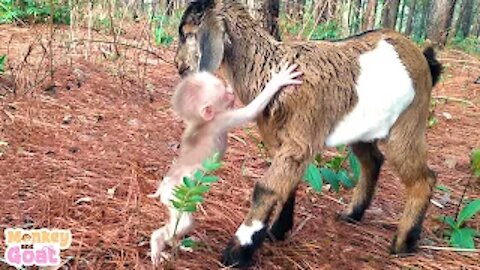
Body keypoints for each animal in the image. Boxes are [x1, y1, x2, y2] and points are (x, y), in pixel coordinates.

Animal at [148, 62, 302, 264]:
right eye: (224, 93)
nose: (230, 91)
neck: (201, 123)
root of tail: (163, 187)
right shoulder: (222, 119)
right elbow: (250, 111)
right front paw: (278, 81)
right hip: (178, 196)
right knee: (184, 223)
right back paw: (157, 242)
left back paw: (173, 245)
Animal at [172, 0, 442, 266]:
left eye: (186, 33)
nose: (179, 66)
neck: (271, 68)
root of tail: (423, 57)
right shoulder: (280, 142)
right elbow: (286, 185)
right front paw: (278, 231)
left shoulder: (300, 139)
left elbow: (266, 188)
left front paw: (238, 252)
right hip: (362, 127)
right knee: (373, 160)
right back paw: (352, 213)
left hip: (409, 120)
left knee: (423, 178)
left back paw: (403, 244)